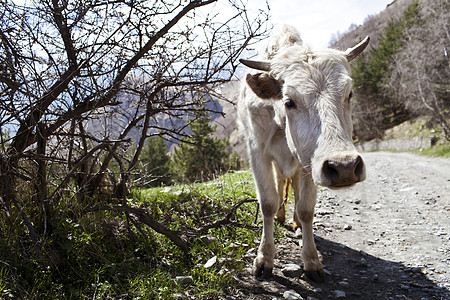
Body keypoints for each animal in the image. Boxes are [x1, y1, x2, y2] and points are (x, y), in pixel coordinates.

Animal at [237, 25, 368, 282]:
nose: (345, 167)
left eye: (349, 94)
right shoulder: (257, 152)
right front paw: (264, 259)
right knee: (280, 185)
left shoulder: (310, 161)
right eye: (289, 101)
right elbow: (267, 202)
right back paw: (281, 215)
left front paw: (312, 261)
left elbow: (306, 208)